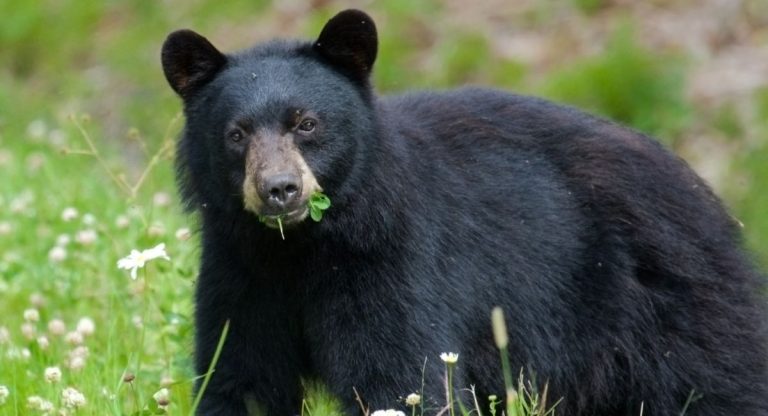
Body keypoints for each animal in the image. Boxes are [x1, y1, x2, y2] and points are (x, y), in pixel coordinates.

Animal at [161, 9, 768, 416]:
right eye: (236, 134)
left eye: (306, 123)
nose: (280, 190)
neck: (301, 249)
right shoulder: (241, 271)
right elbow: (239, 375)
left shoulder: (393, 263)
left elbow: (402, 374)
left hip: (671, 308)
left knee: (718, 383)